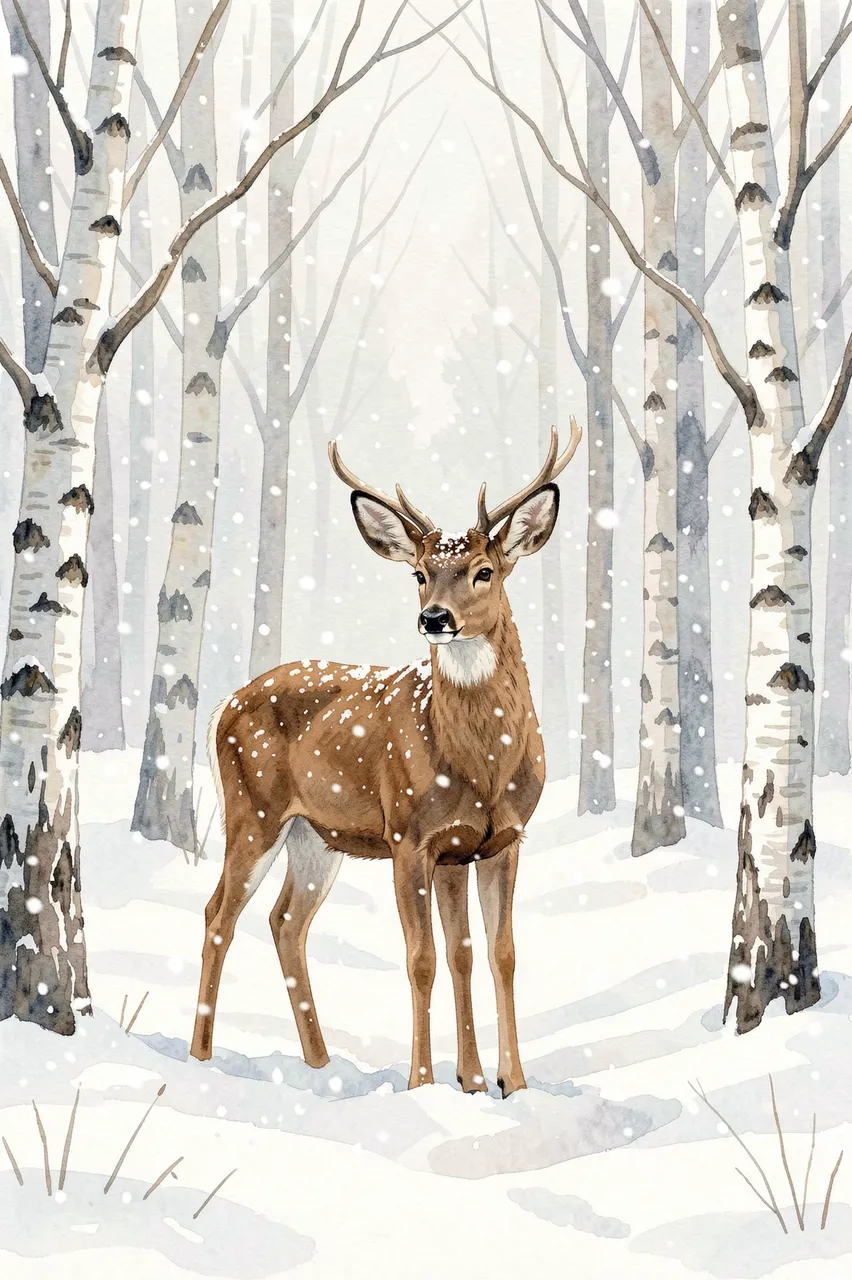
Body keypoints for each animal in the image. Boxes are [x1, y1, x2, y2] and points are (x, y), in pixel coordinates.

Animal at [190, 421, 582, 1096]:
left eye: (484, 570)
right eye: (420, 573)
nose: (435, 617)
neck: (482, 767)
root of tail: (224, 705)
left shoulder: (492, 841)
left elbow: (488, 952)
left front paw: (498, 1083)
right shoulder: (409, 835)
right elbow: (423, 957)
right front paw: (424, 1083)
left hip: (315, 835)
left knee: (286, 922)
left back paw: (320, 1065)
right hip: (253, 811)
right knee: (219, 914)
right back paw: (200, 1059)